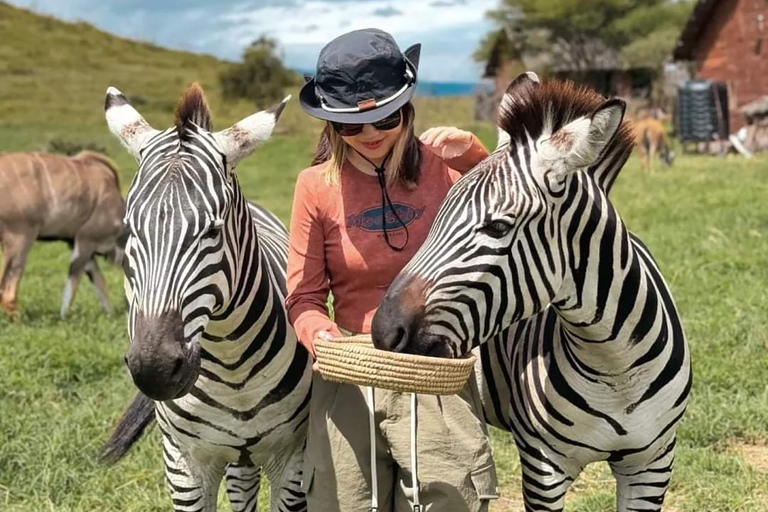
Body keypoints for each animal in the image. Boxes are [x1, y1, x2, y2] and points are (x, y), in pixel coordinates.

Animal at [0, 152, 126, 318]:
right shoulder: (85, 240)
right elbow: (74, 281)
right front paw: (63, 317)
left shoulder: (78, 246)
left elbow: (99, 282)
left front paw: (110, 314)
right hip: (21, 237)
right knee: (7, 293)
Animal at [101, 84, 312, 512]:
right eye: (128, 230)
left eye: (213, 230)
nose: (154, 370)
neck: (233, 372)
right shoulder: (184, 464)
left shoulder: (293, 456)